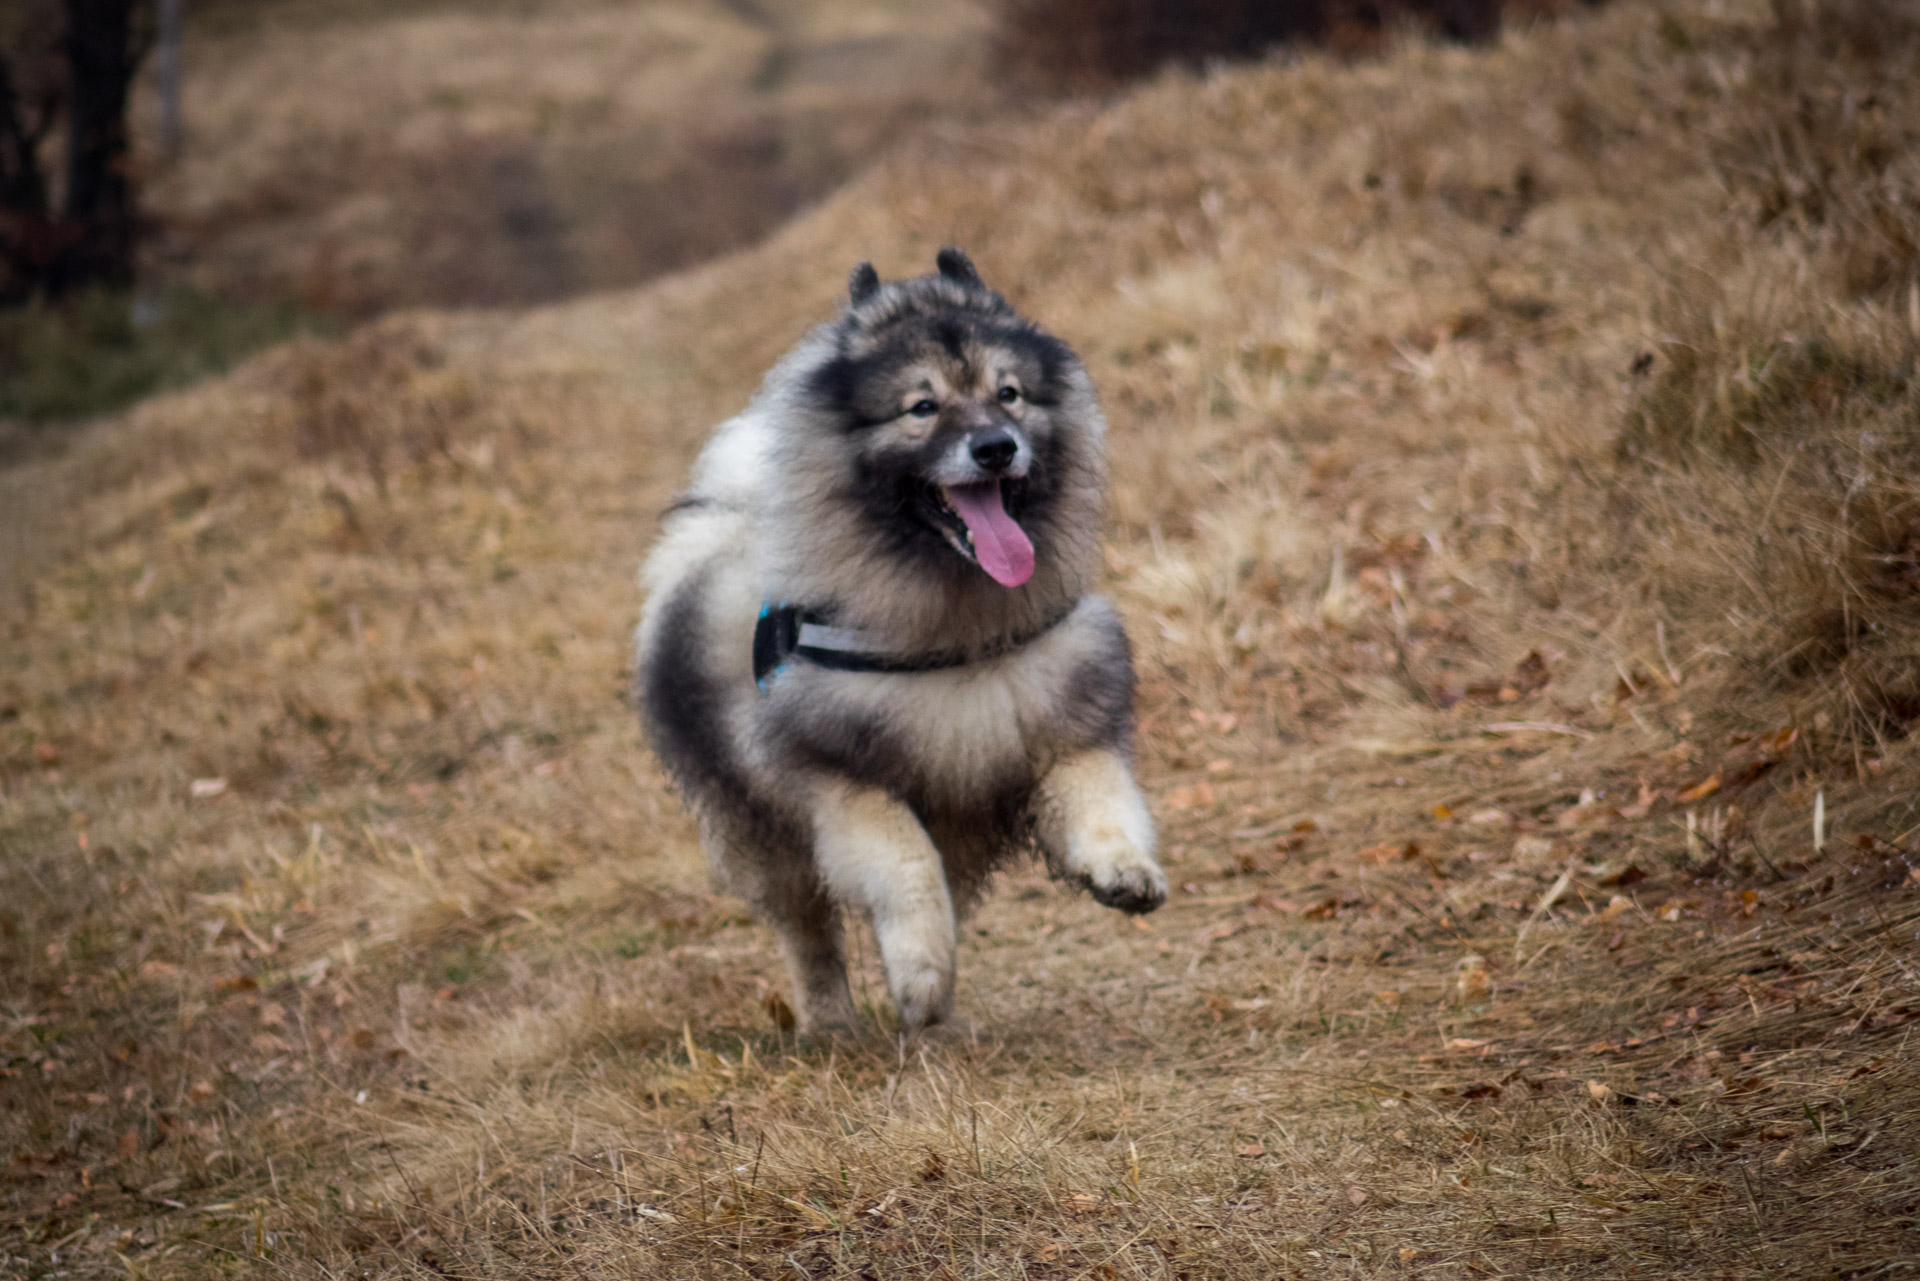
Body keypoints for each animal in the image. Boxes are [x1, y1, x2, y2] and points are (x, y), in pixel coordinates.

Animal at [637, 247, 1159, 1029]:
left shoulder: (1064, 726)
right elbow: (905, 866)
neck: (958, 631)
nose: (996, 447)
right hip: (759, 829)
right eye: (923, 407)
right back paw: (831, 1019)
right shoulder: (841, 783)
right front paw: (918, 972)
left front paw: (1124, 868)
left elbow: (1103, 797)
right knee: (808, 930)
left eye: (1009, 393)